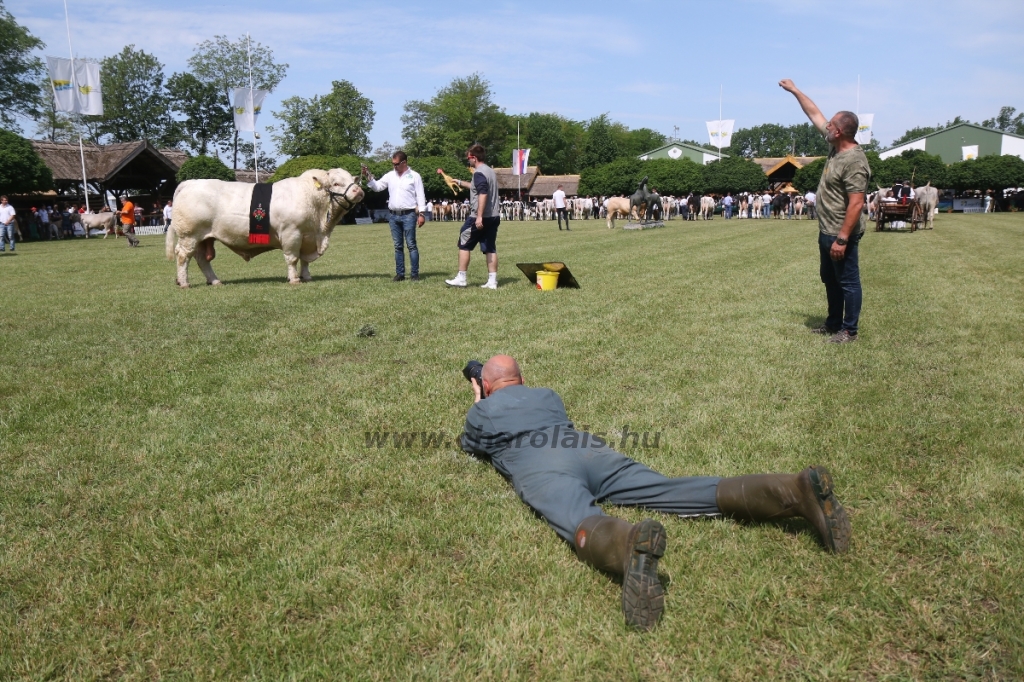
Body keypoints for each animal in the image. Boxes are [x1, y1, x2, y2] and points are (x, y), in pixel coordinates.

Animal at [164, 171, 364, 288]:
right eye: (336, 183)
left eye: (352, 180)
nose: (359, 191)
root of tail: (190, 182)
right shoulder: (291, 233)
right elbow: (293, 258)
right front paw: (294, 279)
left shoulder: (307, 238)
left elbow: (304, 260)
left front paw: (306, 276)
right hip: (189, 236)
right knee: (183, 257)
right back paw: (184, 282)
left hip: (203, 238)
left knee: (202, 260)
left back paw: (215, 281)